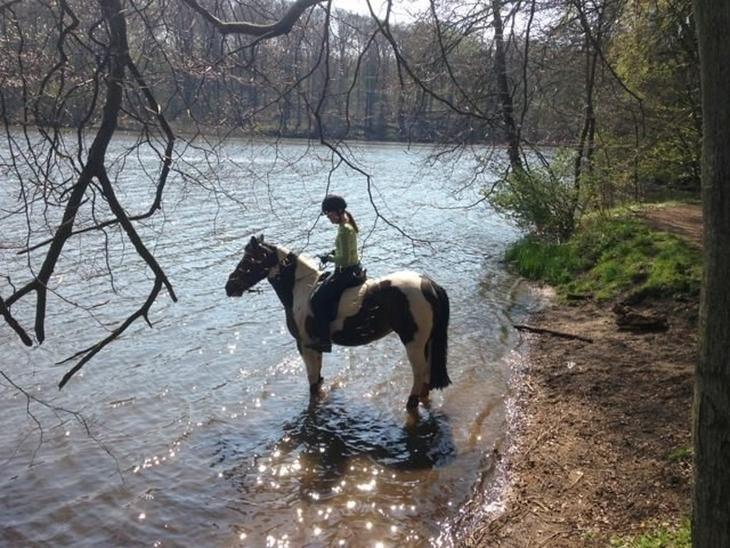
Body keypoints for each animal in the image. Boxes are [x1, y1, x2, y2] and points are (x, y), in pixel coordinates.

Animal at [225, 233, 450, 408]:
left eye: (249, 259)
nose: (229, 286)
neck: (300, 289)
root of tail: (428, 284)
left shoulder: (305, 344)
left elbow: (313, 382)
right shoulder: (314, 345)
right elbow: (317, 378)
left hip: (413, 341)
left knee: (419, 371)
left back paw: (410, 403)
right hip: (426, 340)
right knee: (427, 374)